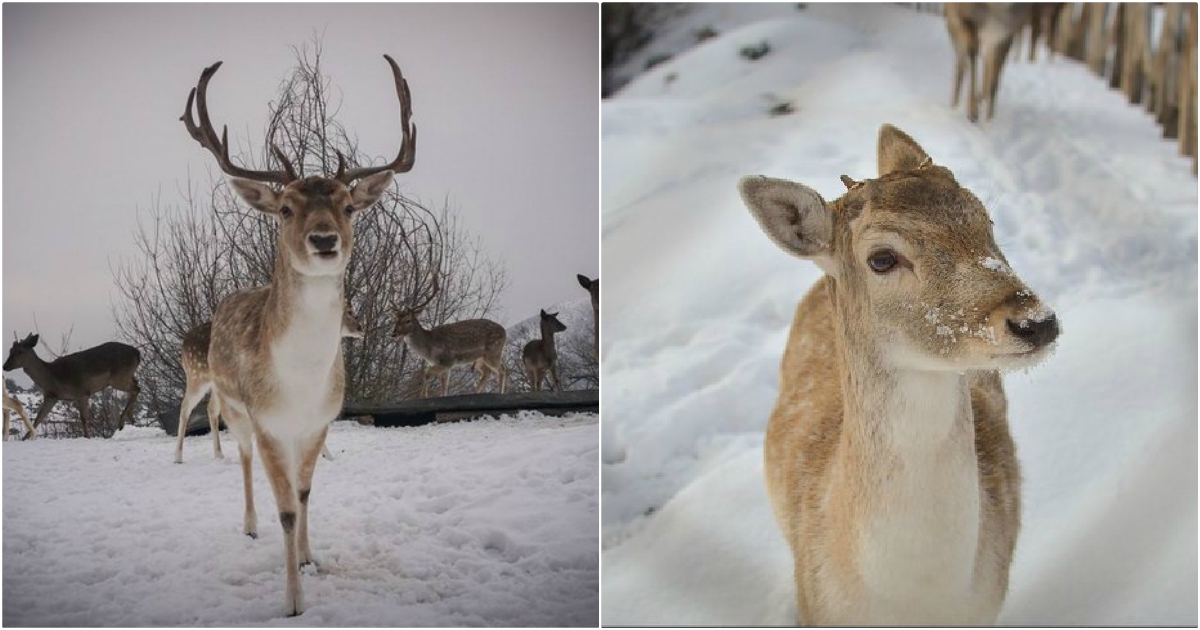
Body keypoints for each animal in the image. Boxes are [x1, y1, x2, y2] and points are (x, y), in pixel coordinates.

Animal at [2, 333, 141, 436]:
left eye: (20, 352)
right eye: (10, 350)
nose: (5, 366)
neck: (52, 379)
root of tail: (137, 353)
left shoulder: (82, 391)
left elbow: (84, 418)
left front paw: (87, 437)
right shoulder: (51, 396)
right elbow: (38, 419)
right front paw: (26, 438)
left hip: (119, 378)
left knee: (137, 388)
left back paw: (122, 422)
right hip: (127, 376)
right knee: (137, 385)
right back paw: (131, 419)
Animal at [174, 309, 357, 460]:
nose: (359, 327)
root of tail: (183, 347)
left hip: (216, 385)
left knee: (211, 409)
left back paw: (219, 454)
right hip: (197, 375)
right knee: (185, 407)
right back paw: (178, 457)